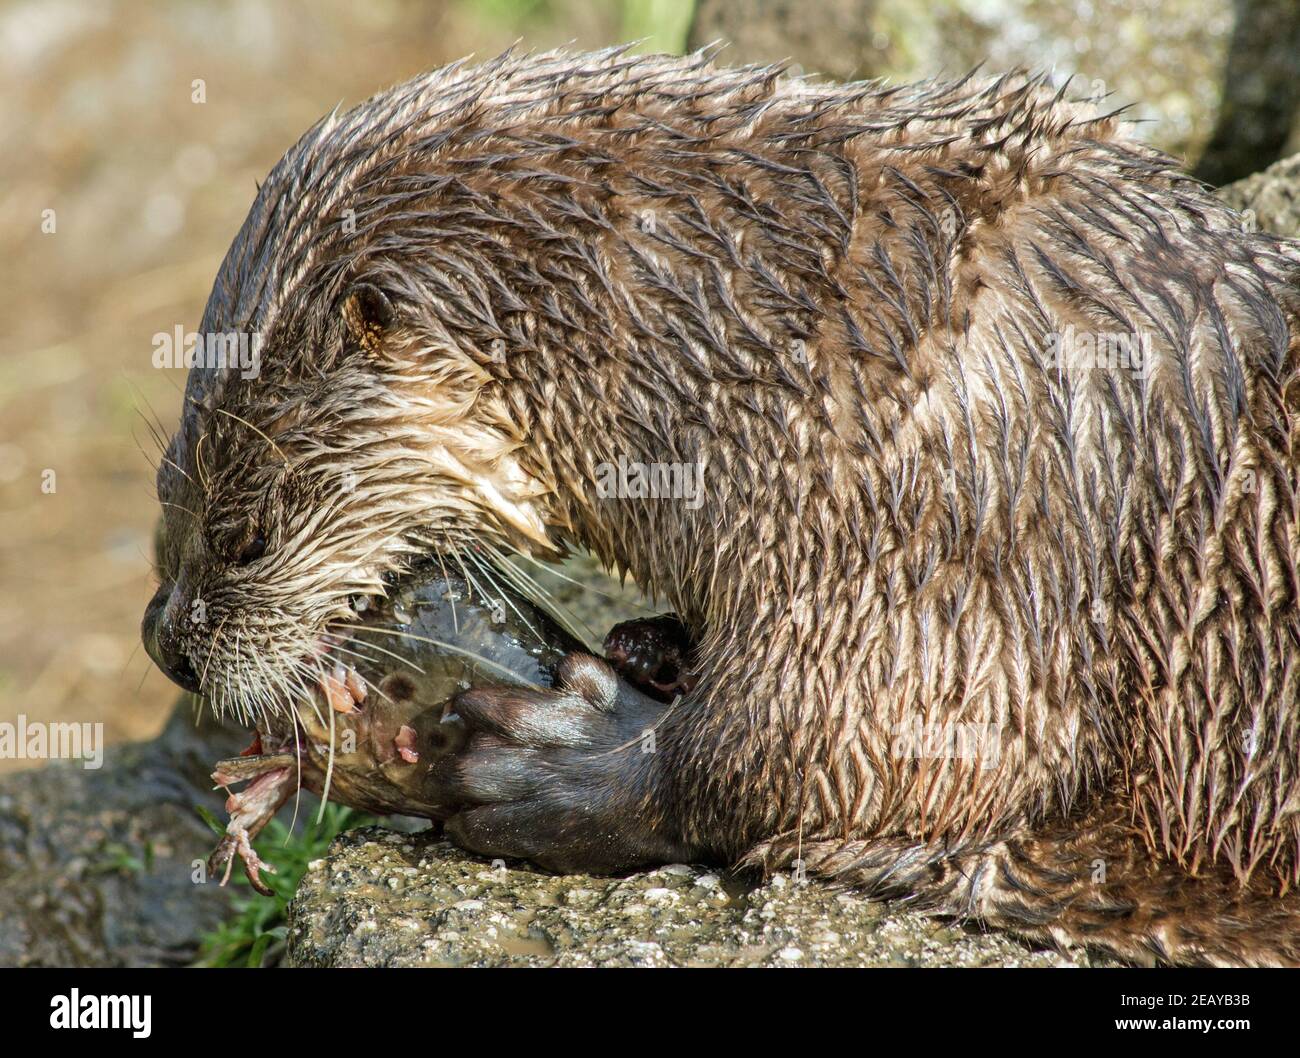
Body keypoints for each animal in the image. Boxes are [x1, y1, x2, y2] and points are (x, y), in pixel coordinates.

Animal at [147, 45, 1300, 967]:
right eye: (169, 496)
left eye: (242, 537)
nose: (168, 644)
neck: (783, 341)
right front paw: (653, 644)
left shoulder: (951, 518)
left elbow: (861, 748)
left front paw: (550, 765)